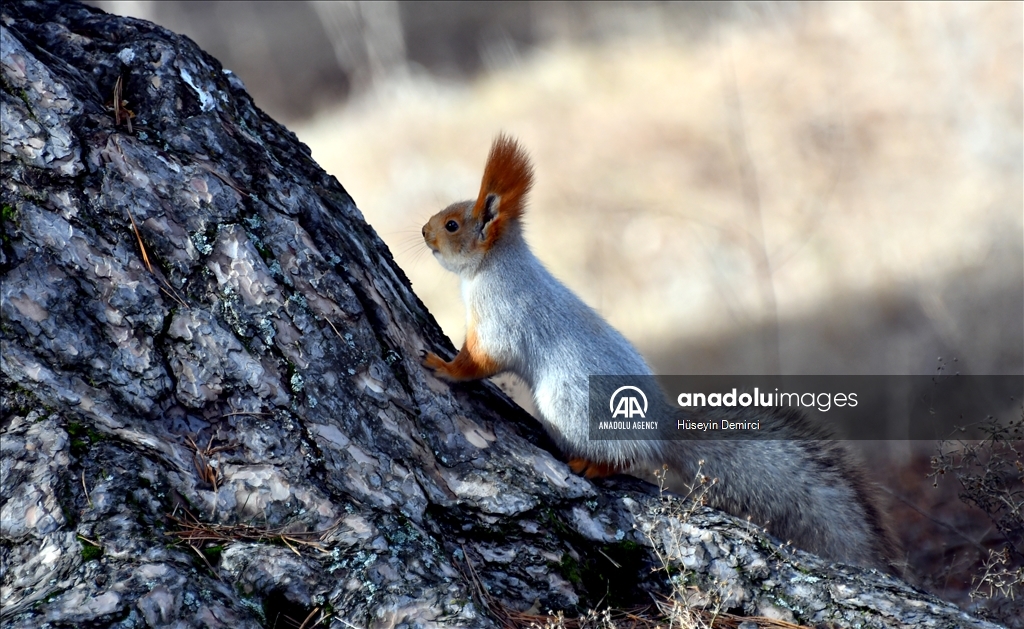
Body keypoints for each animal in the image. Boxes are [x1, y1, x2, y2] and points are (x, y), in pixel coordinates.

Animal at [419, 134, 901, 573]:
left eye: (452, 225)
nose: (423, 231)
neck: (494, 265)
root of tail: (660, 426)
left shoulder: (501, 320)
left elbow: (480, 361)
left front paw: (442, 366)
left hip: (567, 406)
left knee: (627, 456)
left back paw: (592, 466)